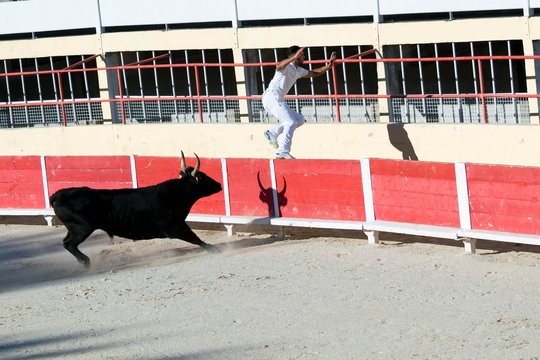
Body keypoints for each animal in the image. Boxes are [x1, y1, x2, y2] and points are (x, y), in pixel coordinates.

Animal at [49, 152, 221, 268]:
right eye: (203, 177)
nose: (219, 184)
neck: (176, 194)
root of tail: (57, 195)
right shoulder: (174, 227)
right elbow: (194, 237)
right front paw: (214, 248)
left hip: (74, 228)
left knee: (66, 243)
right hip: (82, 229)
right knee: (70, 244)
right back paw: (86, 262)